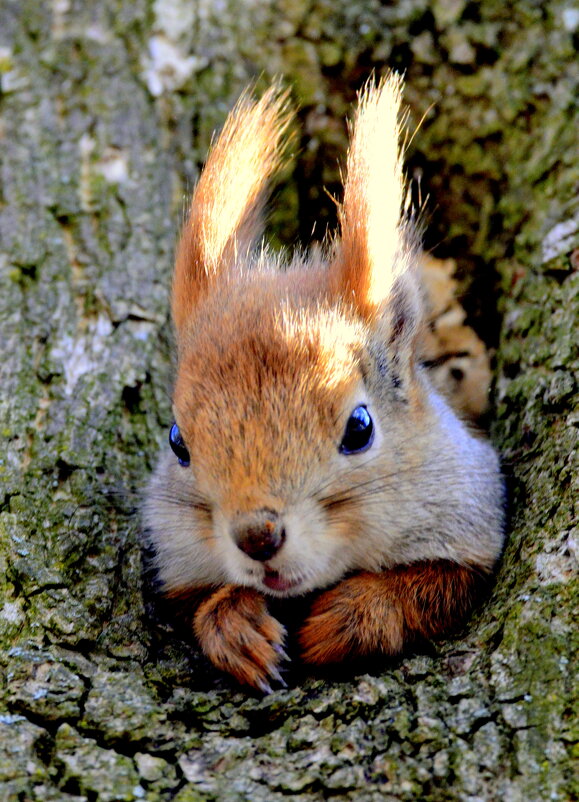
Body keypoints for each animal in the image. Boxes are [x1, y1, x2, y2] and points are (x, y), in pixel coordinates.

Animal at [143, 75, 506, 692]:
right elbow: (199, 601)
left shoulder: (470, 511)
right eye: (177, 443)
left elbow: (435, 586)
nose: (257, 536)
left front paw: (350, 617)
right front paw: (235, 626)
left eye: (359, 428)